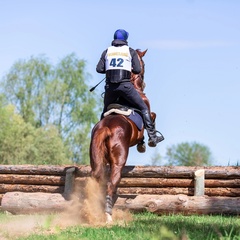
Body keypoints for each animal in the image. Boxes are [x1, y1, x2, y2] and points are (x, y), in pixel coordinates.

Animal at [89, 49, 156, 223]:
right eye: (143, 64)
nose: (144, 84)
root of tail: (105, 127)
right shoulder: (148, 110)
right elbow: (151, 117)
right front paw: (149, 141)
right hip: (119, 161)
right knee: (111, 184)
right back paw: (108, 215)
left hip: (96, 159)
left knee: (96, 180)